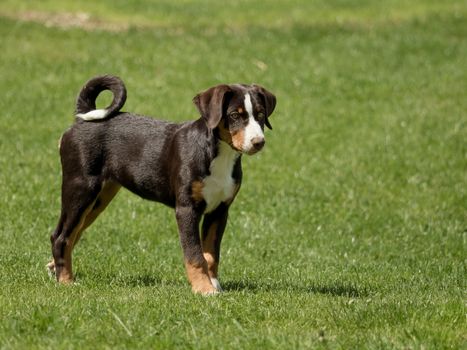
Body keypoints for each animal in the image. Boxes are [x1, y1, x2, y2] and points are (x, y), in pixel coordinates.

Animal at [48, 75, 274, 294]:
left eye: (261, 115)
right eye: (234, 115)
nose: (258, 142)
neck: (220, 155)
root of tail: (82, 118)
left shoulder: (219, 210)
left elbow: (211, 254)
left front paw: (215, 285)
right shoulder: (187, 209)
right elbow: (195, 255)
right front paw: (203, 289)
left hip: (99, 199)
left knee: (73, 233)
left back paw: (55, 268)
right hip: (80, 189)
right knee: (61, 236)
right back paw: (66, 281)